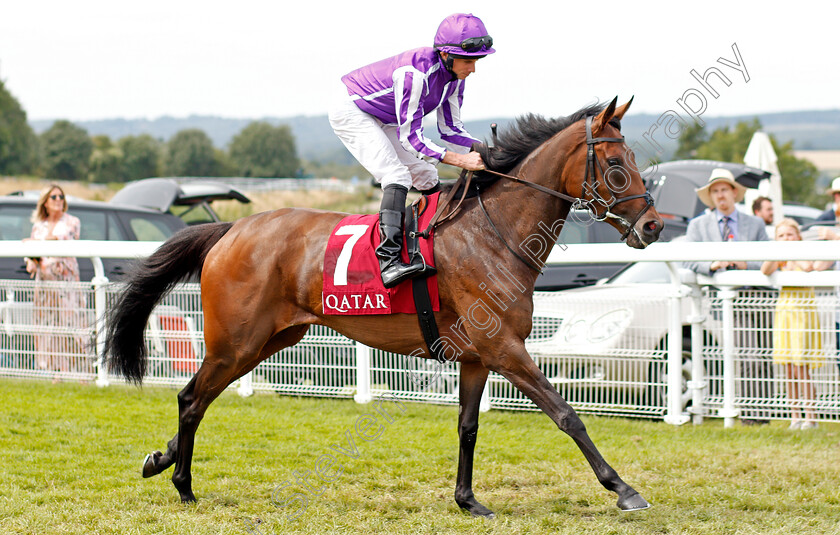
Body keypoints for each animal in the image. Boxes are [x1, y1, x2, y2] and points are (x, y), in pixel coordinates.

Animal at [105, 97, 664, 520]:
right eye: (617, 166)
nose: (654, 225)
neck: (493, 233)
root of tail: (231, 228)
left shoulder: (478, 356)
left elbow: (468, 427)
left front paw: (467, 500)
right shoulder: (505, 348)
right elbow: (567, 414)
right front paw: (624, 489)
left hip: (270, 340)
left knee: (200, 398)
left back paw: (160, 460)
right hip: (235, 341)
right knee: (190, 398)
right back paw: (183, 484)